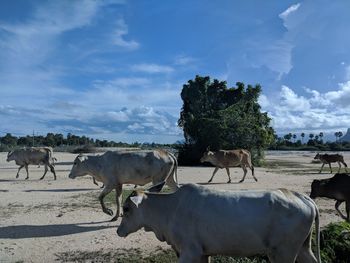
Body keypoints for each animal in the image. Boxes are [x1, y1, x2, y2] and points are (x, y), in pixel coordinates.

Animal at [117, 184, 320, 263]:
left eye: (126, 209)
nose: (119, 231)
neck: (170, 210)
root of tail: (303, 197)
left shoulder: (190, 251)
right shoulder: (203, 253)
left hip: (282, 252)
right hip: (302, 247)